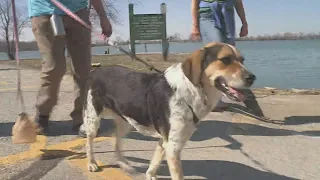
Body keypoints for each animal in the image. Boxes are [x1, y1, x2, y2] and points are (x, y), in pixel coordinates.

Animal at [82, 42, 255, 180]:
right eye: (225, 59)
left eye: (242, 60)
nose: (252, 77)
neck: (189, 92)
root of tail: (95, 71)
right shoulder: (173, 146)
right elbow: (176, 175)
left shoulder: (167, 141)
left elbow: (155, 160)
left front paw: (150, 175)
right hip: (93, 120)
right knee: (89, 144)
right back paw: (91, 163)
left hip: (126, 122)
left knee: (116, 138)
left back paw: (122, 162)